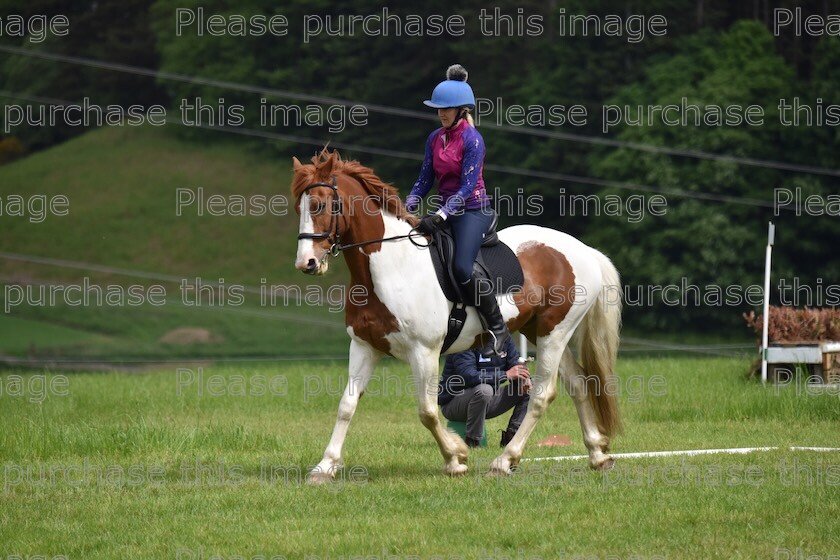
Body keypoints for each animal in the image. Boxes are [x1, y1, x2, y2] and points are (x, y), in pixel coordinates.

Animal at [292, 149, 620, 482]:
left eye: (319, 205)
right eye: (299, 207)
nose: (307, 263)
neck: (390, 267)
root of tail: (585, 250)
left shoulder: (423, 351)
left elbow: (426, 411)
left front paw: (455, 457)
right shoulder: (364, 346)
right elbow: (347, 404)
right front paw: (325, 467)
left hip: (555, 333)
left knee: (542, 395)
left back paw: (504, 461)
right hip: (540, 332)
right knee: (578, 384)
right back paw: (597, 454)